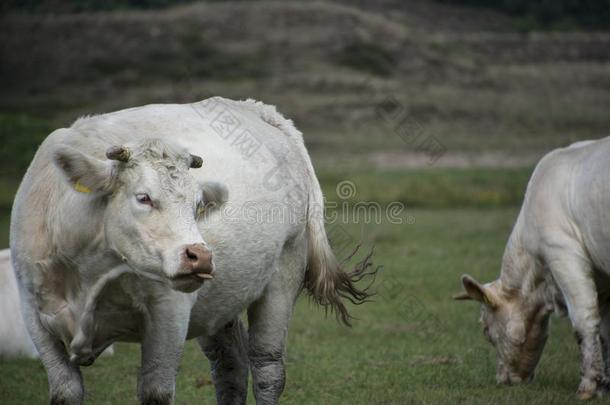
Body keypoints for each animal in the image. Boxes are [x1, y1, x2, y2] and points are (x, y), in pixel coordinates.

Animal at [9, 98, 370, 404]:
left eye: (198, 204)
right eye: (143, 197)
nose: (201, 256)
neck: (88, 274)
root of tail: (257, 109)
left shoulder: (168, 314)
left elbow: (155, 391)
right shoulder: (35, 316)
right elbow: (65, 392)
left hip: (284, 275)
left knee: (267, 367)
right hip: (218, 303)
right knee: (230, 367)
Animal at [452, 138, 608, 398]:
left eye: (486, 330)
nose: (503, 378)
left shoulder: (564, 255)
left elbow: (584, 321)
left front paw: (589, 385)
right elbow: (606, 330)